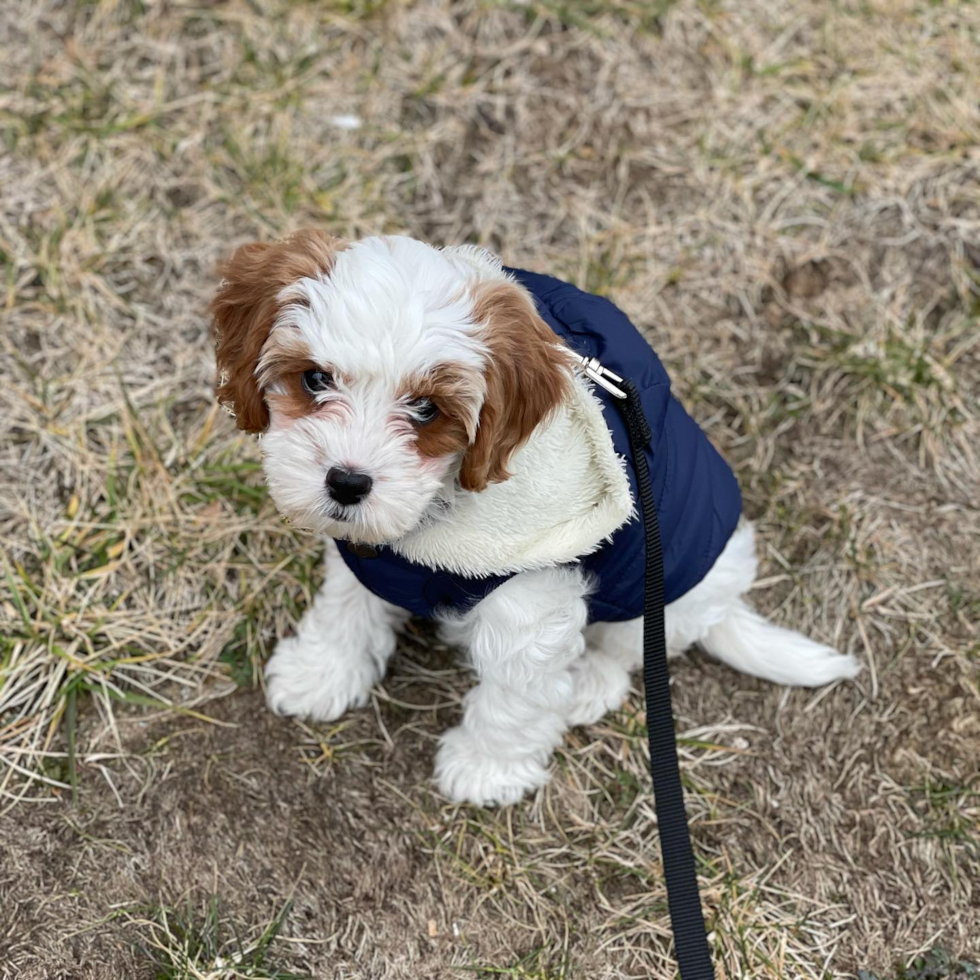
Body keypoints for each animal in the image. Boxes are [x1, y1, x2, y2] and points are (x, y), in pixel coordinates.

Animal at [211, 228, 860, 804]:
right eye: (315, 378)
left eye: (426, 409)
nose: (347, 482)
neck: (433, 514)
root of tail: (723, 597)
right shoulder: (365, 553)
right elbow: (346, 606)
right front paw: (321, 672)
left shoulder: (530, 600)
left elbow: (515, 692)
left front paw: (487, 769)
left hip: (662, 590)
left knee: (630, 652)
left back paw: (587, 686)